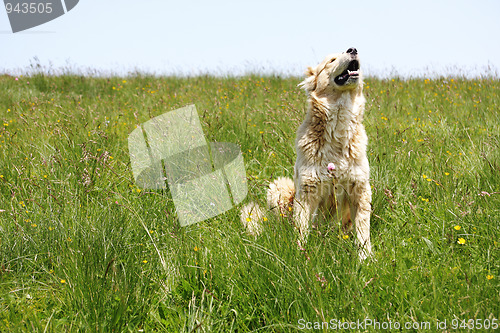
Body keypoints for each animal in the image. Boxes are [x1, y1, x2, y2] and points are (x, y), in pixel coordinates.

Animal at [240, 47, 374, 260]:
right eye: (332, 60)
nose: (353, 49)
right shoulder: (307, 190)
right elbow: (302, 227)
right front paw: (300, 254)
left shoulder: (359, 189)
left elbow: (362, 229)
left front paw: (365, 258)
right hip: (278, 187)